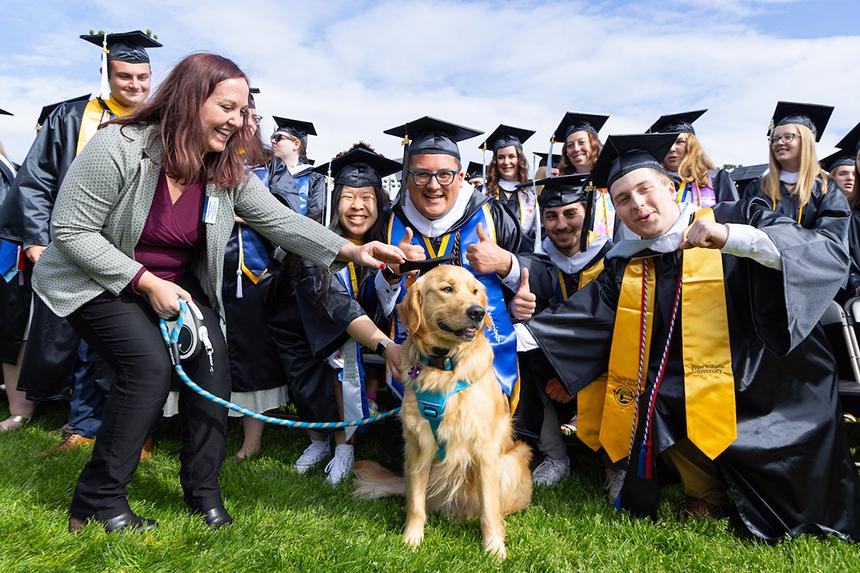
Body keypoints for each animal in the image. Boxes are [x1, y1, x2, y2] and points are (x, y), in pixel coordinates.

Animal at [352, 264, 532, 560]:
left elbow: (489, 510)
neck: (445, 365)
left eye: (475, 291)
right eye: (447, 289)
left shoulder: (484, 449)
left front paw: (494, 547)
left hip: (513, 459)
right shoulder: (418, 444)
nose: (478, 312)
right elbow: (415, 504)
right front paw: (411, 540)